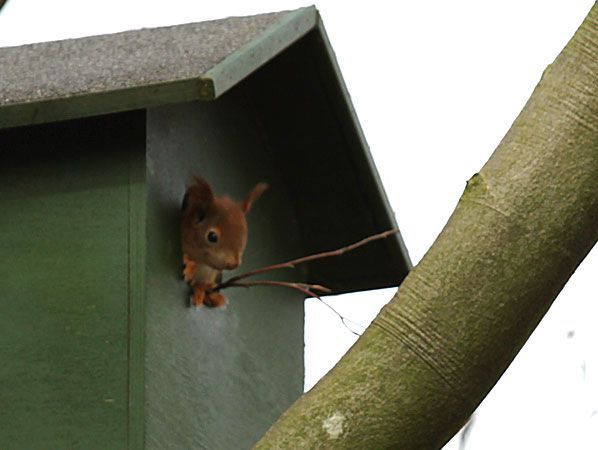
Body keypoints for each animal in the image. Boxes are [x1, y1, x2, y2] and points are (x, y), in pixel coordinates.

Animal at [182, 178, 268, 308]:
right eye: (212, 236)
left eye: (245, 236)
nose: (233, 264)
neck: (204, 264)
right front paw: (190, 267)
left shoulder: (211, 273)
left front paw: (207, 289)